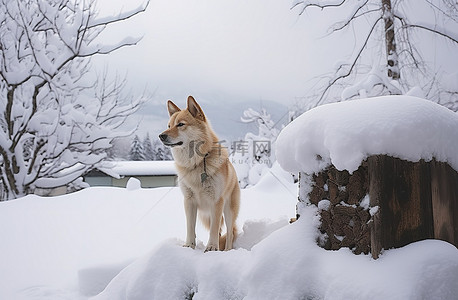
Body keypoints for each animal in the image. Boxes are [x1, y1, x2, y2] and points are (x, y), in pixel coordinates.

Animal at [158, 96, 240, 251]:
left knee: (230, 233)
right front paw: (189, 246)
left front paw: (212, 248)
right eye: (169, 125)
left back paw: (227, 250)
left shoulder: (216, 202)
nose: (161, 136)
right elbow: (190, 227)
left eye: (180, 124)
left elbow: (215, 230)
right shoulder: (189, 201)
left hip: (228, 211)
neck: (197, 163)